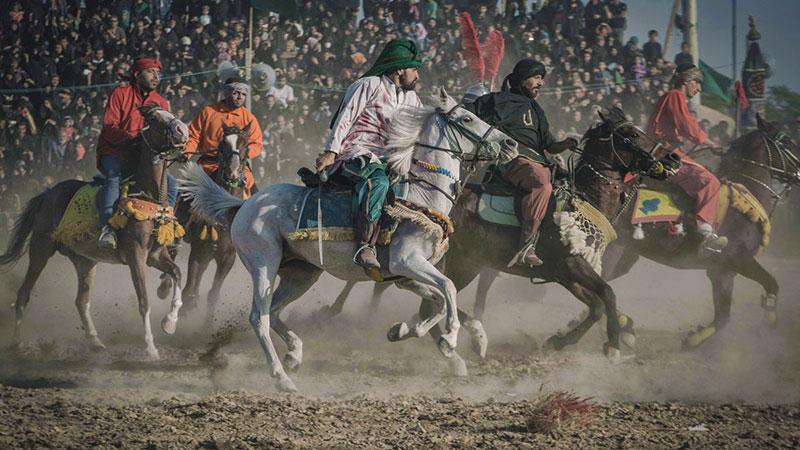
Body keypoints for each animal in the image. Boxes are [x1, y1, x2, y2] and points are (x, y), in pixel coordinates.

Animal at [0, 106, 190, 358]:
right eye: (152, 118)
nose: (182, 130)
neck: (149, 198)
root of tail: (47, 193)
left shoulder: (156, 256)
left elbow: (177, 273)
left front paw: (169, 322)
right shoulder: (136, 256)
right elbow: (144, 301)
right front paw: (150, 348)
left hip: (85, 261)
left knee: (81, 301)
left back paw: (94, 341)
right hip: (41, 247)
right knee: (23, 294)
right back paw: (16, 342)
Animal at [182, 122, 252, 324]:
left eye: (246, 145)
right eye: (222, 145)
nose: (232, 173)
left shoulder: (228, 257)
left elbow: (213, 293)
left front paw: (207, 325)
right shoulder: (198, 250)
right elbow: (188, 289)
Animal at [604, 117, 796, 348]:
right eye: (788, 141)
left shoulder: (723, 272)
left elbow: (722, 317)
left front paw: (693, 339)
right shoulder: (739, 259)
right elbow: (771, 284)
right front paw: (770, 321)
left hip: (626, 253)